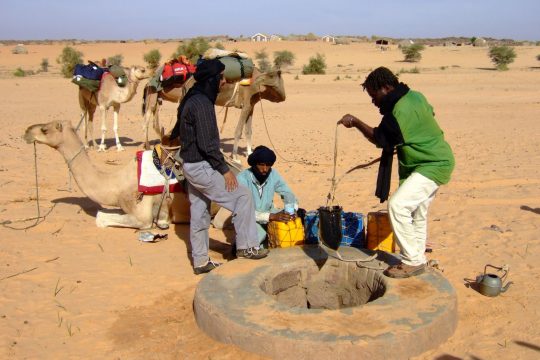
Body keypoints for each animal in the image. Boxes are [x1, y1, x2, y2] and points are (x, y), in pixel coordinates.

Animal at [23, 120, 190, 228]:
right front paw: (164, 220)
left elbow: (100, 218)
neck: (116, 184)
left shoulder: (142, 216)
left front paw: (163, 220)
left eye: (44, 130)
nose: (26, 132)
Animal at [142, 68, 286, 161]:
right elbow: (238, 131)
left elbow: (248, 131)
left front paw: (250, 153)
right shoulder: (246, 104)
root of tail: (187, 82)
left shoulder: (251, 106)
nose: (257, 80)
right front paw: (235, 157)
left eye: (271, 76)